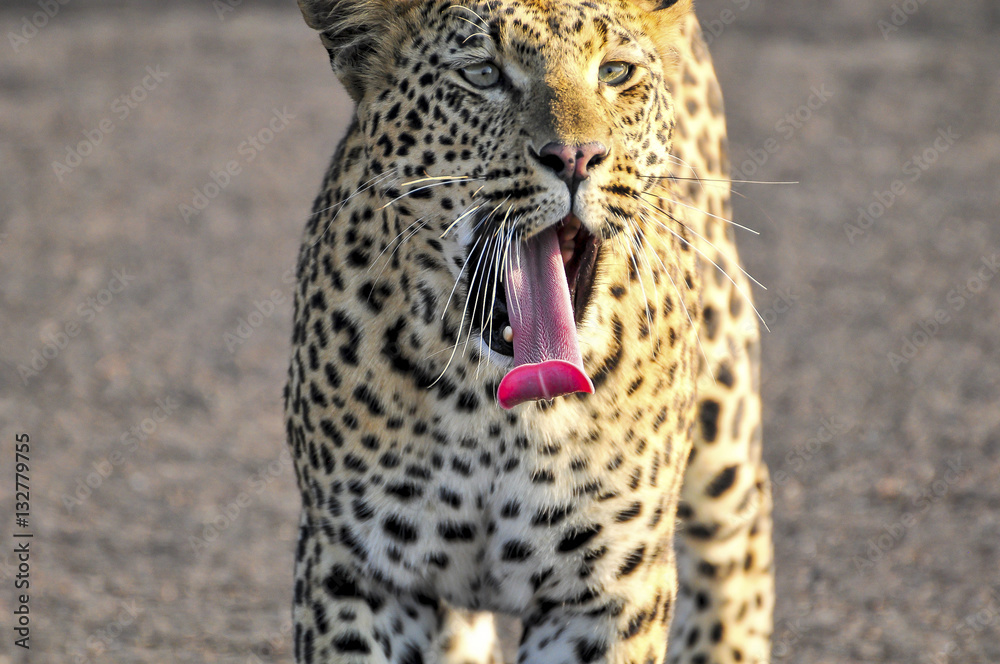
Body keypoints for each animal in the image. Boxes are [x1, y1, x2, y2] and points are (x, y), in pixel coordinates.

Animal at [284, 0, 774, 662]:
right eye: (484, 75)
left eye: (614, 72)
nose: (576, 157)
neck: (493, 411)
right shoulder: (358, 568)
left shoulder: (607, 590)